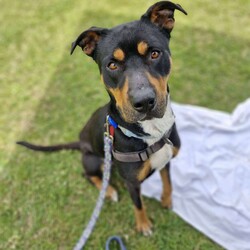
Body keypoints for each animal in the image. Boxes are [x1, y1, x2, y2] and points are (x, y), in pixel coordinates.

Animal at [16, 1, 187, 236]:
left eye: (154, 53)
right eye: (112, 65)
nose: (144, 102)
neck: (152, 131)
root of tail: (80, 141)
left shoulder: (167, 159)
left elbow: (167, 182)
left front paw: (167, 201)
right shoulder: (132, 183)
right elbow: (138, 204)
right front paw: (143, 225)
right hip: (95, 160)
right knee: (88, 175)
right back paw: (108, 192)